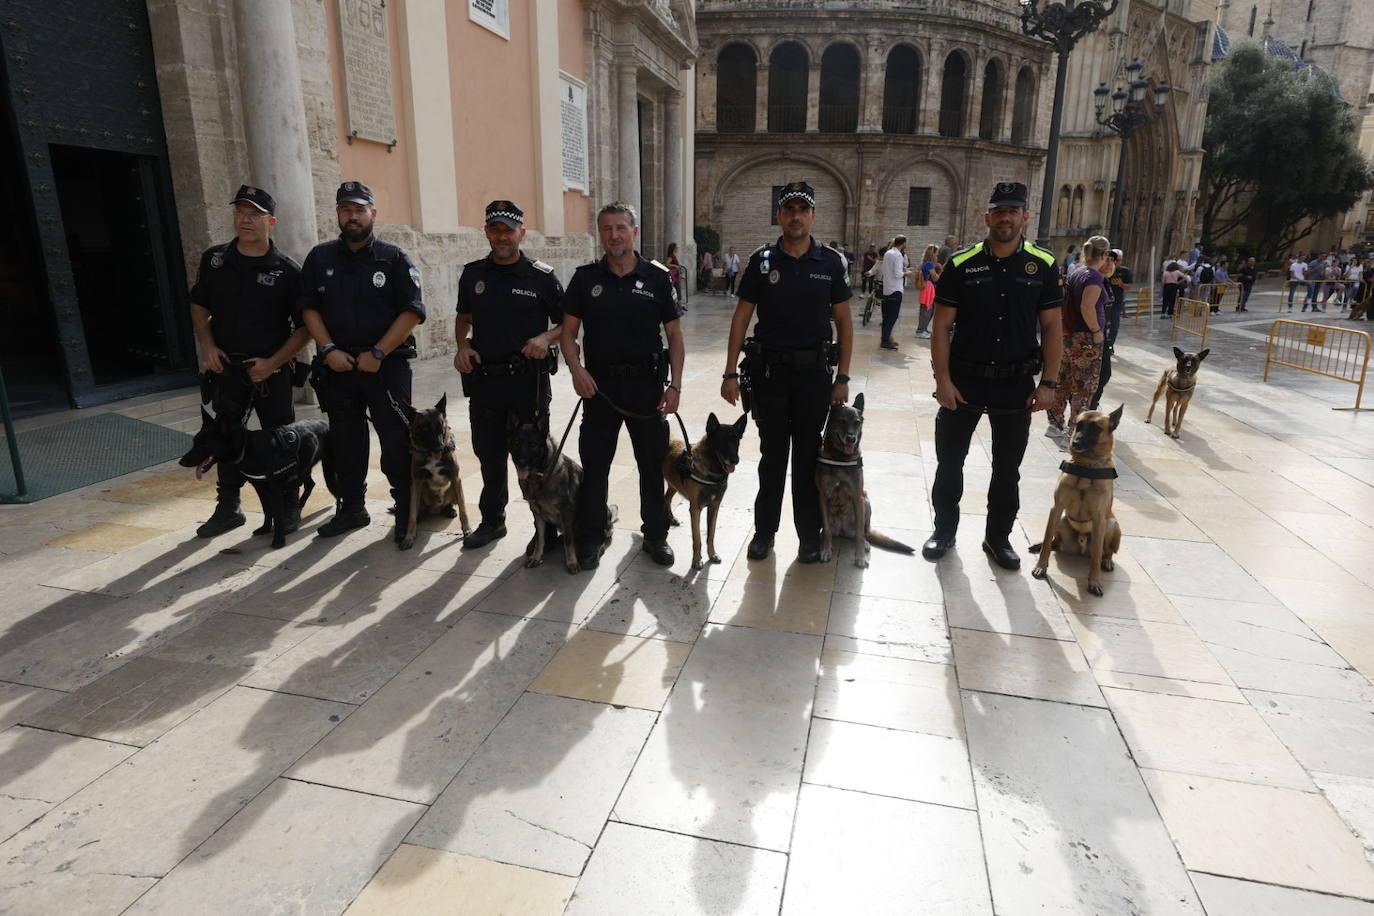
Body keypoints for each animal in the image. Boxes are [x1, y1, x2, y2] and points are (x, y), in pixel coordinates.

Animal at [179, 411, 335, 549]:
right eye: (194, 442)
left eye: (204, 444)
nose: (181, 462)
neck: (247, 448)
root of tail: (326, 423)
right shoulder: (260, 489)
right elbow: (267, 510)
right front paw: (265, 528)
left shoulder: (275, 490)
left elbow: (278, 516)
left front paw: (278, 540)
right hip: (302, 469)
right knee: (310, 484)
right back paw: (300, 504)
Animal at [659, 411, 747, 568]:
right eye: (722, 441)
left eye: (736, 440)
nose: (735, 460)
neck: (713, 471)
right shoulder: (695, 509)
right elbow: (697, 538)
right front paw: (696, 559)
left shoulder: (714, 507)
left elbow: (711, 535)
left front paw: (712, 554)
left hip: (674, 484)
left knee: (667, 497)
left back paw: (671, 518)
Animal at [813, 392, 912, 565]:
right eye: (842, 421)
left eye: (857, 423)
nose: (851, 439)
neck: (840, 457)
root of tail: (842, 531)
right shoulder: (822, 497)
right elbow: (826, 530)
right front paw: (826, 549)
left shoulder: (857, 496)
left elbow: (859, 534)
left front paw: (859, 557)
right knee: (829, 531)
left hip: (865, 500)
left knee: (863, 532)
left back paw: (865, 543)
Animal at [1033, 406, 1126, 596]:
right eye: (1079, 425)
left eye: (1096, 428)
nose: (1074, 443)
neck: (1087, 467)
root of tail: (1082, 549)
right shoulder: (1056, 508)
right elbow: (1047, 541)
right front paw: (1041, 567)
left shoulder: (1099, 518)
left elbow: (1097, 555)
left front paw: (1095, 582)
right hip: (1061, 521)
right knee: (1053, 542)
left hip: (1111, 524)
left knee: (1106, 552)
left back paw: (1107, 561)